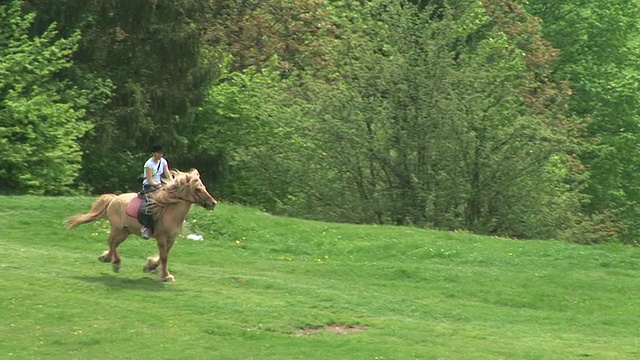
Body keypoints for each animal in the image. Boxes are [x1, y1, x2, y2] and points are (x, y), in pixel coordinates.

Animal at [64, 169, 218, 282]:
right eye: (197, 189)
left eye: (203, 187)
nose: (213, 203)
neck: (169, 211)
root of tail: (114, 198)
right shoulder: (161, 237)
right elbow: (164, 256)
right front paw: (166, 276)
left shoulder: (171, 238)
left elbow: (165, 255)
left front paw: (151, 267)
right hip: (117, 228)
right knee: (111, 242)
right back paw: (115, 263)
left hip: (126, 231)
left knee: (114, 243)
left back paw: (107, 258)